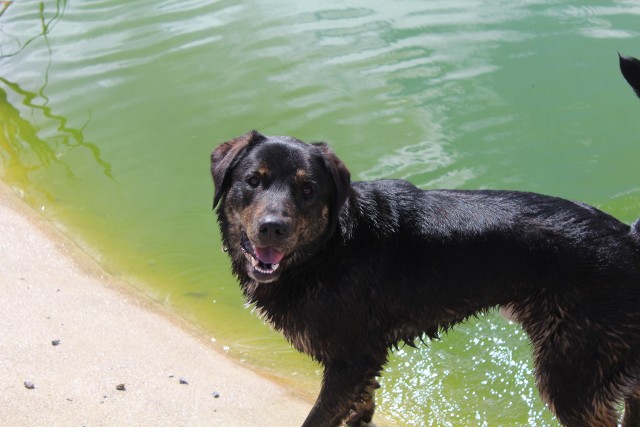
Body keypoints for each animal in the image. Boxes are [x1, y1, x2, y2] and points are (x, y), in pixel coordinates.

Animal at [212, 131, 640, 427]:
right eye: (254, 181)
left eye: (307, 189)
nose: (272, 228)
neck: (329, 249)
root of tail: (630, 237)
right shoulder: (360, 364)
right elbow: (358, 410)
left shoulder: (350, 360)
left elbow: (320, 418)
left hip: (573, 372)